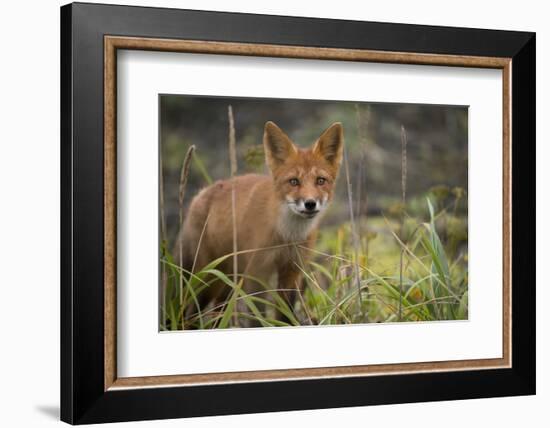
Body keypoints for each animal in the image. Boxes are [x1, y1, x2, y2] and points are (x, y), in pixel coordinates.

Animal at [177, 122, 342, 322]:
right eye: (294, 181)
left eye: (320, 181)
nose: (310, 204)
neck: (286, 235)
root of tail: (199, 195)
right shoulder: (257, 272)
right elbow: (257, 316)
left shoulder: (292, 271)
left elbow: (284, 316)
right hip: (209, 278)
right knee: (190, 314)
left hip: (227, 282)